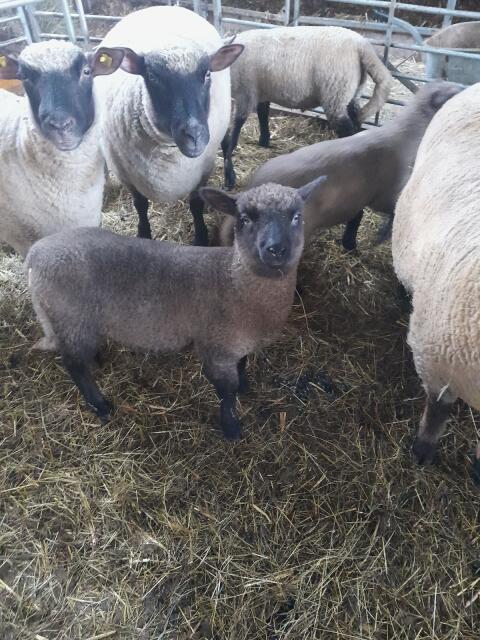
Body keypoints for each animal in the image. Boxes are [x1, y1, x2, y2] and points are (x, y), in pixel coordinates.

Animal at [26, 178, 323, 440]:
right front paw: (231, 428)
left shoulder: (237, 344)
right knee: (73, 364)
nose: (276, 250)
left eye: (297, 216)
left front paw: (245, 386)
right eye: (245, 219)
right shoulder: (216, 349)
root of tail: (35, 253)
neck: (231, 280)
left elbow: (243, 365)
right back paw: (100, 405)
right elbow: (226, 393)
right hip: (70, 317)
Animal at [96, 6, 244, 245]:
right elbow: (140, 205)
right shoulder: (125, 173)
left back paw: (230, 176)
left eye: (207, 73)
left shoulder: (202, 169)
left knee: (227, 140)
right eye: (152, 76)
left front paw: (201, 238)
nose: (195, 136)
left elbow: (196, 204)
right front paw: (144, 233)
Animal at [219, 81, 463, 251]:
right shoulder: (385, 192)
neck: (405, 135)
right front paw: (380, 237)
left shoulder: (359, 197)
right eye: (456, 92)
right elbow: (392, 210)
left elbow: (356, 218)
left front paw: (350, 243)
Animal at [222, 25, 393, 189]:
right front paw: (264, 141)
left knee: (347, 130)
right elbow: (263, 114)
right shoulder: (261, 91)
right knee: (355, 123)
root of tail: (362, 45)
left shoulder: (245, 93)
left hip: (335, 91)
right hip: (352, 93)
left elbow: (234, 131)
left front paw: (229, 175)